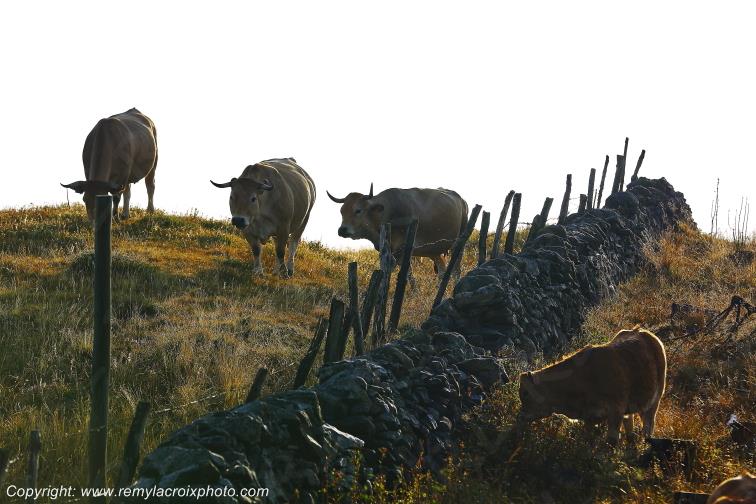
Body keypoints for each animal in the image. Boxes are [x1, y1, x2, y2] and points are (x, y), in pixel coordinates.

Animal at [326, 184, 468, 277]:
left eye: (358, 210)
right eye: (341, 211)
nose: (342, 230)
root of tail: (462, 200)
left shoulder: (404, 249)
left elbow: (405, 274)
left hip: (459, 244)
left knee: (456, 270)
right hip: (434, 250)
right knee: (442, 270)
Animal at [517, 326, 667, 445]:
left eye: (525, 393)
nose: (521, 416)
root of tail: (639, 330)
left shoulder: (615, 410)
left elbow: (611, 442)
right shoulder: (589, 418)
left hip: (655, 398)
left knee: (648, 424)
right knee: (629, 421)